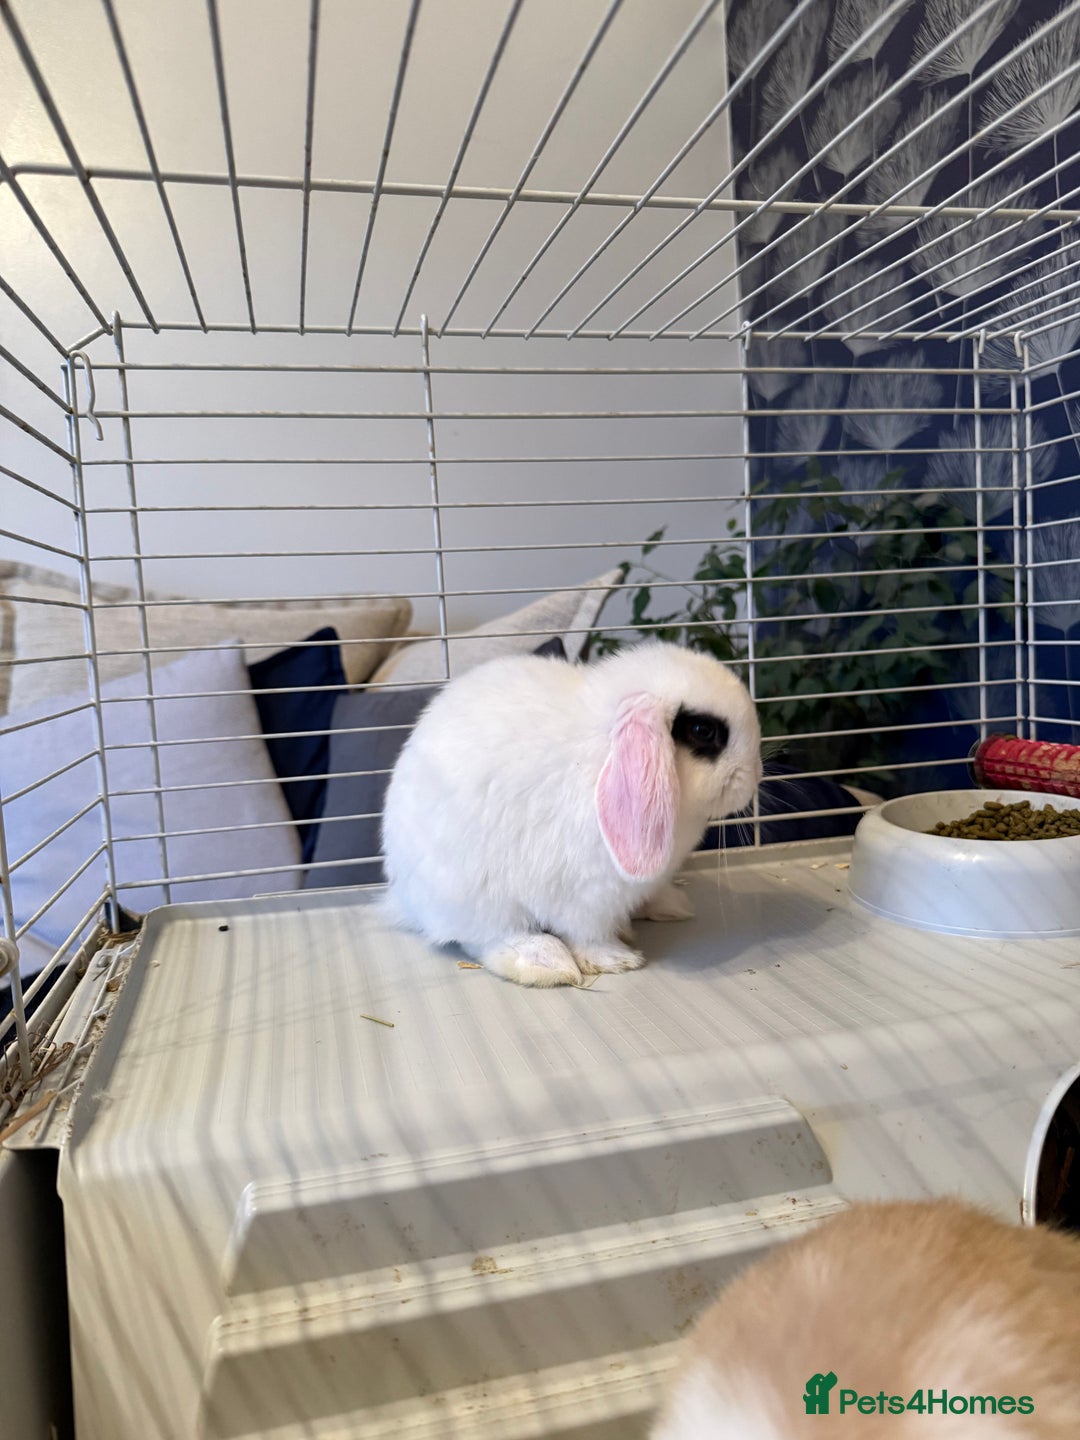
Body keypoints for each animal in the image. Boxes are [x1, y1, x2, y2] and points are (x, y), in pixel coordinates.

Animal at [381, 640, 762, 987]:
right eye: (703, 731)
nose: (755, 776)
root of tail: (405, 898)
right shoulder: (586, 894)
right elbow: (588, 934)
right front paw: (616, 959)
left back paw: (668, 905)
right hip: (476, 895)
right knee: (486, 938)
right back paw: (546, 962)